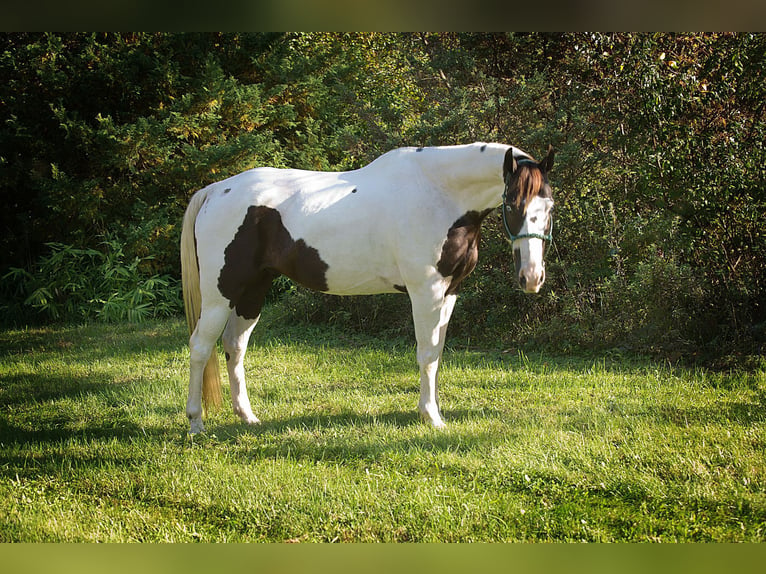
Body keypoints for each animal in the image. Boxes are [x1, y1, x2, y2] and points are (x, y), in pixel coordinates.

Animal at [182, 142, 556, 434]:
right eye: (512, 204)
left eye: (549, 207)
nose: (532, 278)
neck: (439, 193)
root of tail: (215, 191)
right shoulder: (426, 292)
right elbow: (426, 353)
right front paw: (431, 416)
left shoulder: (449, 292)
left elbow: (436, 353)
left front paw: (434, 410)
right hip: (220, 294)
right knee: (200, 347)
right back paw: (195, 421)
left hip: (253, 292)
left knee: (234, 347)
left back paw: (247, 417)